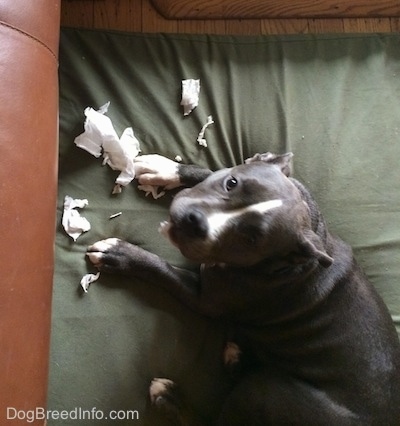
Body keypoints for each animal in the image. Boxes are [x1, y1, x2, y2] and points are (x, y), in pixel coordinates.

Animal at [87, 154, 400, 426]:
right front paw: (165, 168)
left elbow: (162, 269)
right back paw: (235, 357)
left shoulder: (204, 300)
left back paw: (170, 397)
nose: (195, 221)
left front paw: (120, 254)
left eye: (251, 238)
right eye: (232, 182)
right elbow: (209, 169)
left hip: (264, 392)